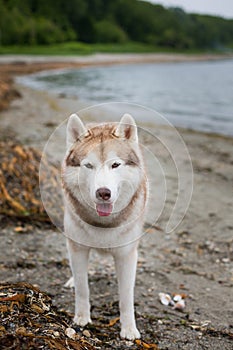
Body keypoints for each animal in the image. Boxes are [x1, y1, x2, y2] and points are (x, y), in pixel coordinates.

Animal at [61, 113, 147, 340]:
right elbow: (82, 288)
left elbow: (126, 297)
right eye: (88, 166)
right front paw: (81, 318)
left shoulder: (126, 255)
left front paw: (129, 329)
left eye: (115, 165)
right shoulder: (78, 248)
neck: (103, 222)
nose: (103, 193)